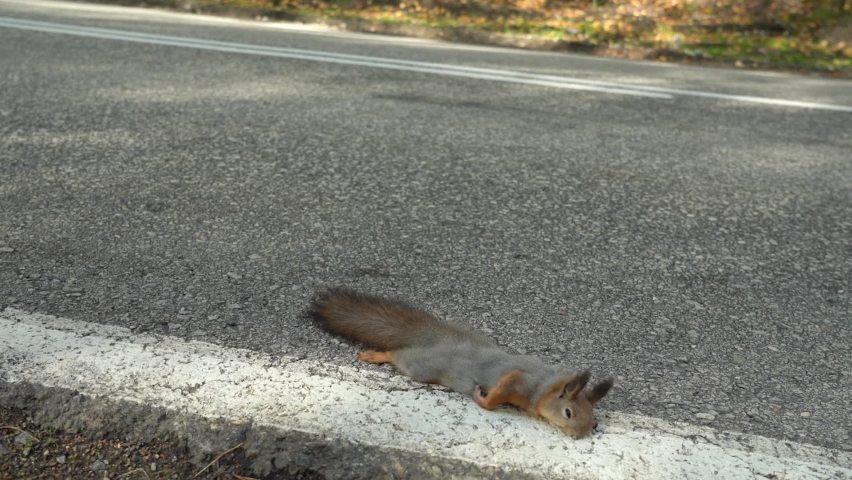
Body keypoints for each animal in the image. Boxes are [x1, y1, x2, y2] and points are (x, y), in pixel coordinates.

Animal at [309, 288, 613, 439]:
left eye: (594, 422)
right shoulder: (521, 382)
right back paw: (377, 356)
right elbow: (501, 391)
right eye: (568, 413)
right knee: (398, 355)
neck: (548, 385)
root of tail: (440, 340)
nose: (578, 436)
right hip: (422, 367)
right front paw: (483, 398)